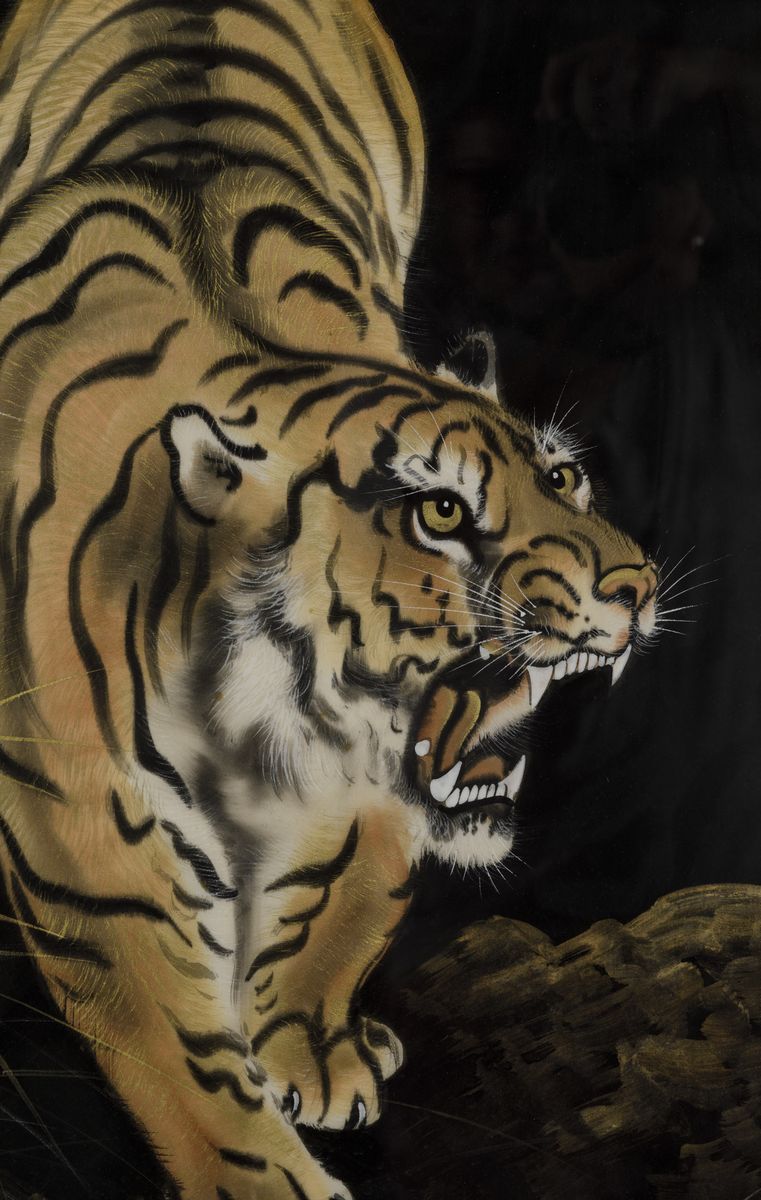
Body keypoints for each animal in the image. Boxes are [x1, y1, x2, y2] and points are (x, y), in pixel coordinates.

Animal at [0, 0, 659, 1196]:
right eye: (438, 511)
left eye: (565, 479)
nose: (633, 588)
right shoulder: (79, 827)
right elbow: (183, 1056)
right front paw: (268, 1171)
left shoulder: (374, 792)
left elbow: (350, 888)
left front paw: (316, 1049)